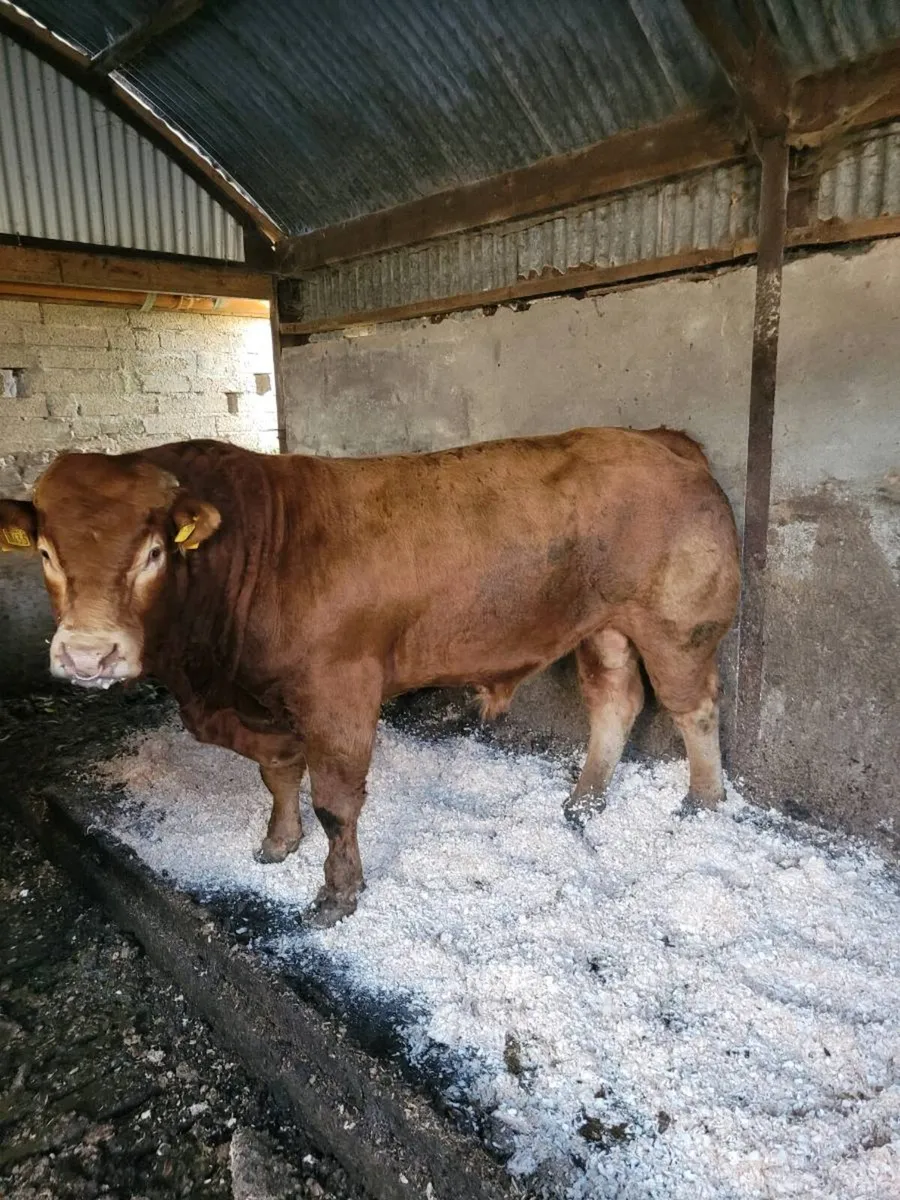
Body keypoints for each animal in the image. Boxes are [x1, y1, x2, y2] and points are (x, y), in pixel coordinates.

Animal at [0, 427, 740, 925]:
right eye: (46, 552)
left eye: (154, 551)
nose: (88, 655)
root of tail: (662, 440)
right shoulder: (261, 704)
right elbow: (278, 773)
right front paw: (278, 842)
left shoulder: (339, 691)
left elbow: (335, 801)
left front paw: (337, 893)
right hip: (604, 627)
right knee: (615, 699)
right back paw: (584, 800)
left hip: (678, 625)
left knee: (693, 707)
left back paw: (702, 801)